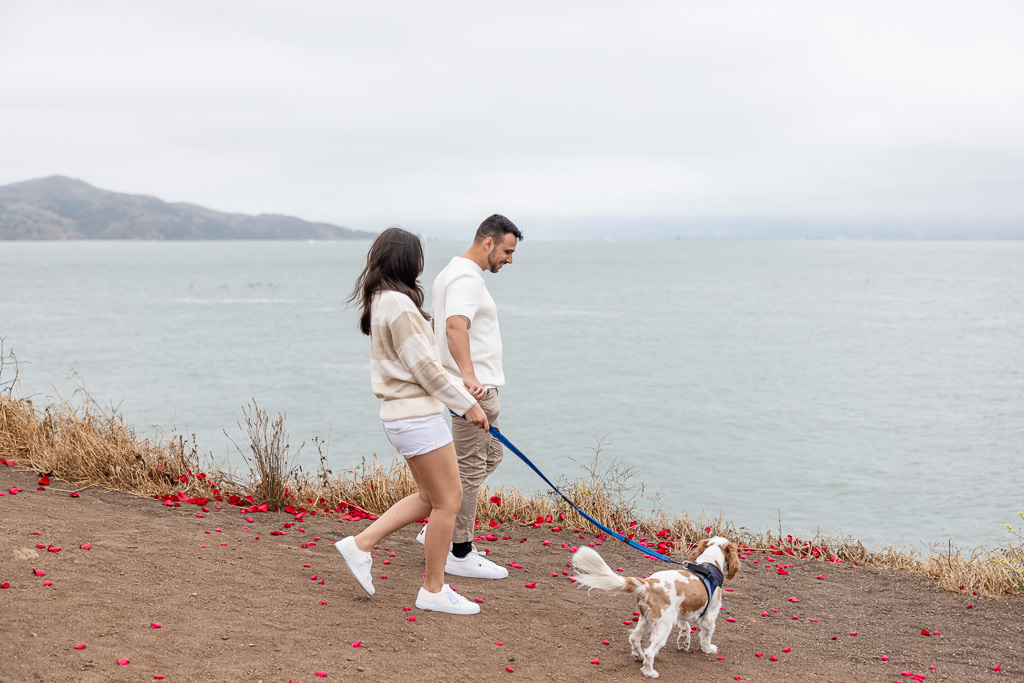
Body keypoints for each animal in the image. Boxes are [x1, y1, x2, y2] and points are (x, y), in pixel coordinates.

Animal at [573, 540, 741, 679]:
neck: (709, 563)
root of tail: (648, 584)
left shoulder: (680, 612)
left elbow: (685, 627)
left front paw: (684, 641)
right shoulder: (710, 616)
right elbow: (706, 635)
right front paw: (708, 649)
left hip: (646, 619)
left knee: (634, 638)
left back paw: (638, 655)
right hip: (663, 626)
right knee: (650, 652)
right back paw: (649, 672)